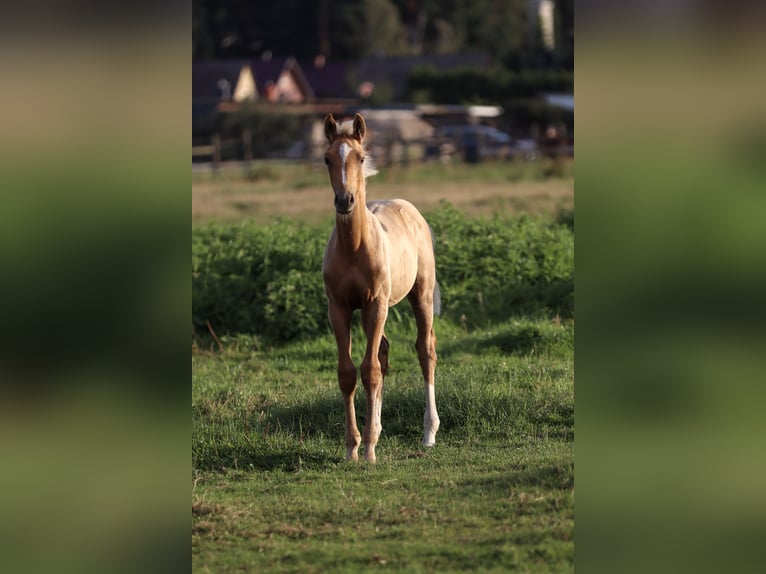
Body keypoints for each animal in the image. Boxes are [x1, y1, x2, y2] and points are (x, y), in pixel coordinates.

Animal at [321, 112, 440, 463]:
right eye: (327, 158)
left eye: (361, 157)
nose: (344, 201)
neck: (354, 248)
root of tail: (407, 207)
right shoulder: (340, 308)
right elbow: (348, 373)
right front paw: (354, 446)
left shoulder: (375, 304)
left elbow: (370, 370)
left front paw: (370, 449)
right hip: (371, 311)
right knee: (384, 352)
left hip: (419, 295)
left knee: (425, 350)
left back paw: (429, 433)